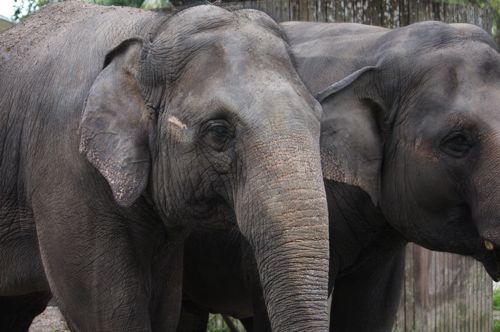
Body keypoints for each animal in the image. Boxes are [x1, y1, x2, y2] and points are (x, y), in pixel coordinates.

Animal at [0, 3, 332, 332]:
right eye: (219, 132)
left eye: (318, 118)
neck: (151, 31)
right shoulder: (66, 169)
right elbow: (109, 316)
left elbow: (165, 307)